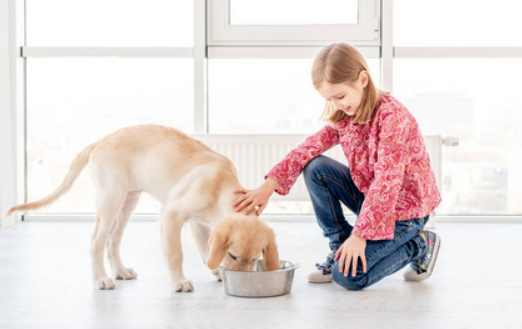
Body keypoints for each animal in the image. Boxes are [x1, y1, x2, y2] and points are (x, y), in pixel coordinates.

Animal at [6, 124, 278, 290]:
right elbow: (175, 252)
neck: (221, 185)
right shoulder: (171, 214)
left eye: (254, 259)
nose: (242, 280)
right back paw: (101, 279)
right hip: (110, 199)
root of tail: (98, 142)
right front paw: (179, 281)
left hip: (128, 200)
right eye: (233, 255)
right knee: (96, 241)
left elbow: (206, 249)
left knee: (113, 240)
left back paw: (121, 271)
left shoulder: (199, 223)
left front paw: (216, 271)